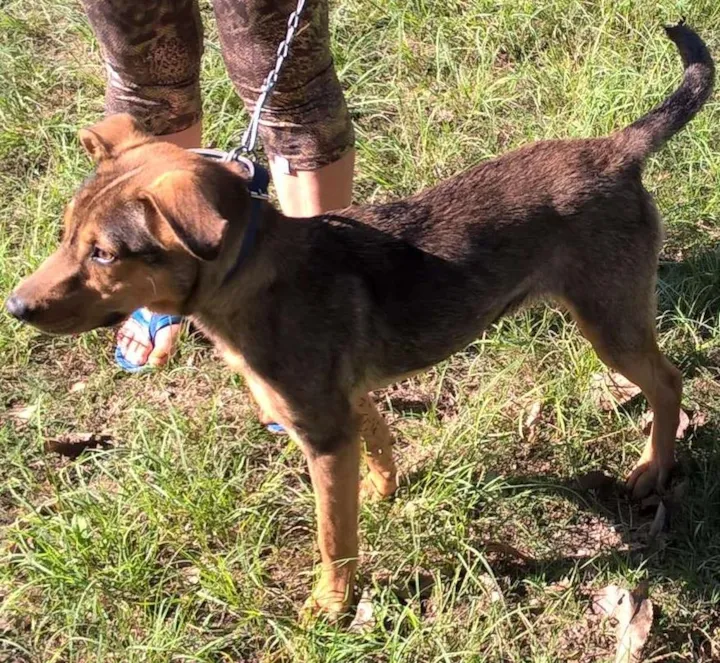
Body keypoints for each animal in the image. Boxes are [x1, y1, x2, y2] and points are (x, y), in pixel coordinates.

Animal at [7, 23, 714, 618]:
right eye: (66, 237)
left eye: (105, 254)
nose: (14, 308)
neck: (254, 278)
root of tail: (615, 150)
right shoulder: (346, 404)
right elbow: (377, 442)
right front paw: (384, 491)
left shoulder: (322, 434)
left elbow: (331, 533)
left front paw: (332, 604)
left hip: (610, 321)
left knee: (668, 381)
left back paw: (655, 466)